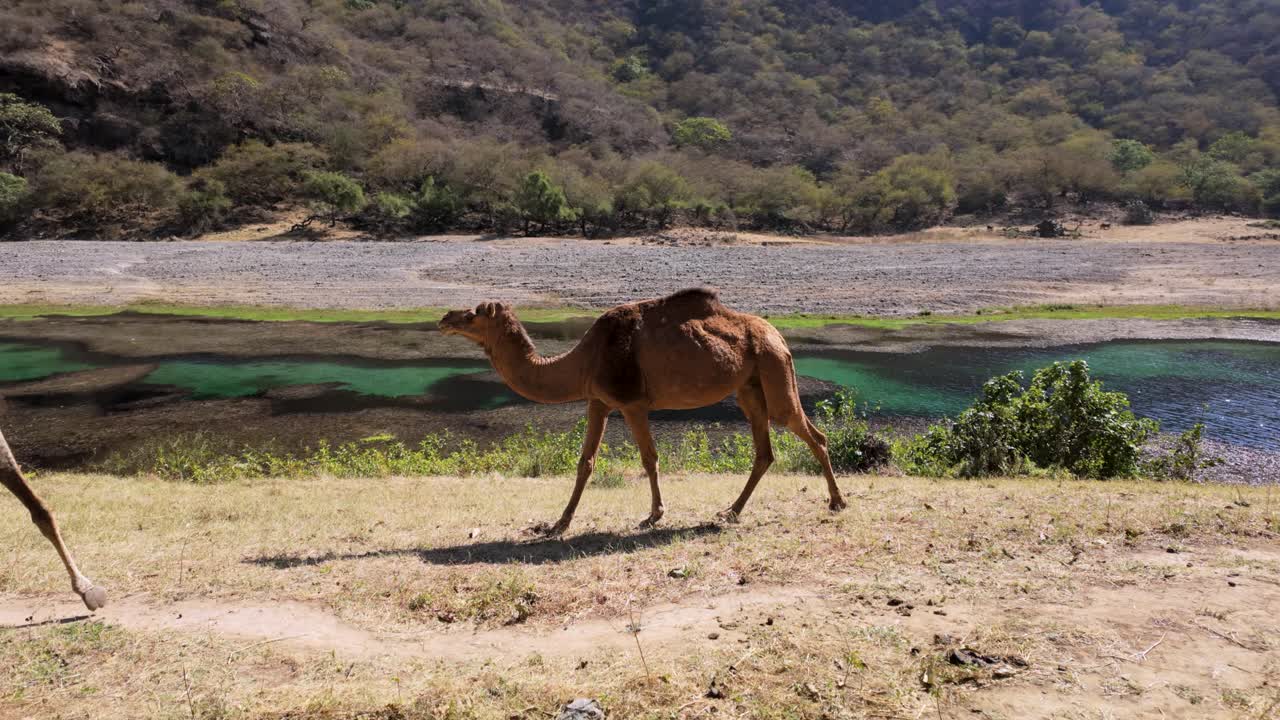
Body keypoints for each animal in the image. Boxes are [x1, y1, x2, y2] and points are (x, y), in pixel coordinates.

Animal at [439, 288, 847, 535]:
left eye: (474, 315)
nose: (444, 318)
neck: (584, 360)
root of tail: (779, 335)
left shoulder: (632, 402)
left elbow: (649, 458)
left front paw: (654, 515)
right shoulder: (599, 401)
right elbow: (585, 462)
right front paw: (559, 523)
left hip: (773, 368)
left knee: (811, 433)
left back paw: (837, 502)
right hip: (749, 387)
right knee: (765, 451)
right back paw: (730, 511)